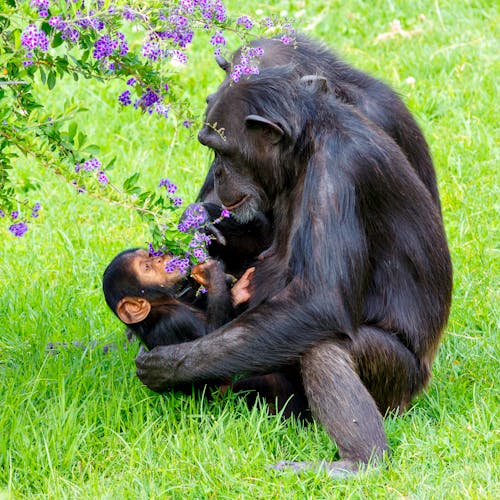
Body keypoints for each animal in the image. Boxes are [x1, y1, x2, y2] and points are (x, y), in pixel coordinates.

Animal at [137, 64, 454, 474]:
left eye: (221, 149)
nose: (218, 172)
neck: (306, 146)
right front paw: (201, 224)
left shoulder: (338, 174)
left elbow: (320, 299)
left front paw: (171, 363)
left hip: (398, 385)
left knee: (324, 347)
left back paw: (358, 461)